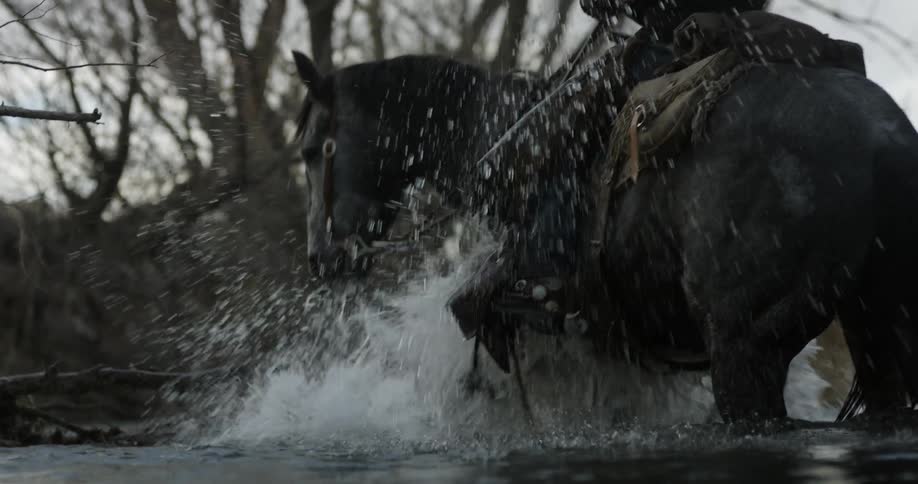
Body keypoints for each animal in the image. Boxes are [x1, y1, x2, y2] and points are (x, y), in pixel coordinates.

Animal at [290, 44, 918, 422]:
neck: (488, 134)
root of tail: (882, 137)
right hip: (880, 334)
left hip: (746, 345)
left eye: (312, 150)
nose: (322, 257)